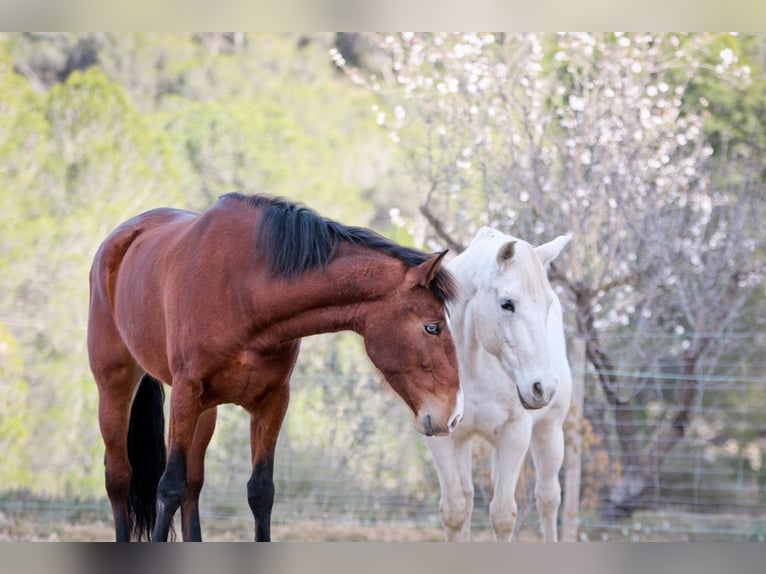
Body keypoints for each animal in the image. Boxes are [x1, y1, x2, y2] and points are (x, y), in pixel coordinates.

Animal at [87, 195, 464, 544]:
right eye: (432, 327)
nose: (454, 414)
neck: (244, 290)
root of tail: (122, 237)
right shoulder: (185, 393)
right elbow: (169, 487)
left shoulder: (272, 401)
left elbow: (260, 491)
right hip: (116, 387)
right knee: (119, 477)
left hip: (206, 412)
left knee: (193, 485)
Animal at [426, 227, 576, 544]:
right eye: (507, 304)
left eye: (547, 305)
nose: (542, 387)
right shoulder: (440, 434)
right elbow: (455, 512)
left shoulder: (514, 434)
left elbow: (503, 516)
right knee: (468, 497)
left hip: (549, 432)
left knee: (548, 499)